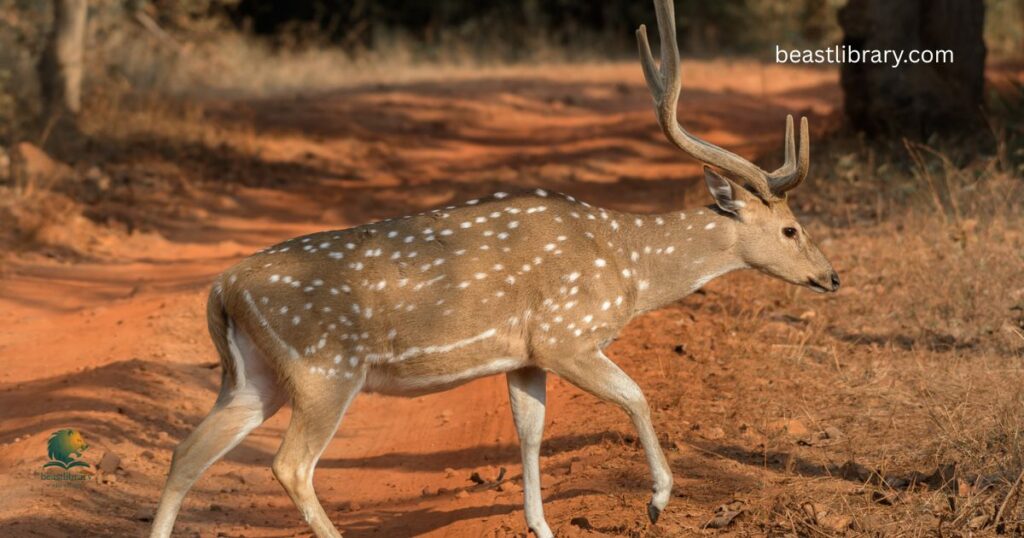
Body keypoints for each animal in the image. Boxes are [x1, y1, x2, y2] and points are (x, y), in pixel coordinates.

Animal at [149, 1, 839, 536]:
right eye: (791, 228)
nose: (831, 277)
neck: (628, 267)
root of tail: (221, 288)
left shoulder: (524, 356)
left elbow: (530, 432)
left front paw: (541, 525)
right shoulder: (565, 335)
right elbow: (635, 395)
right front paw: (657, 502)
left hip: (255, 374)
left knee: (188, 451)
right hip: (325, 368)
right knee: (289, 464)